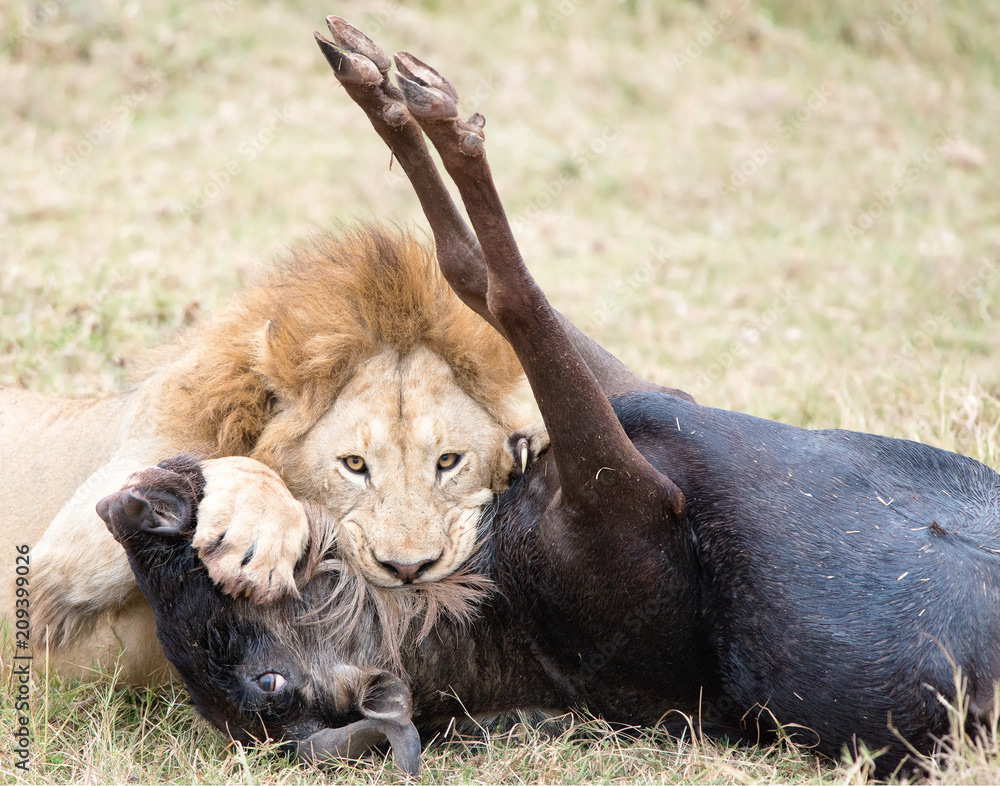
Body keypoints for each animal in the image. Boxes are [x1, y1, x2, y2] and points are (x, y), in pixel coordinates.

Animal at [0, 224, 534, 684]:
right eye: (354, 465)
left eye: (448, 461)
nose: (408, 570)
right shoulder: (48, 575)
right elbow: (221, 463)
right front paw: (257, 529)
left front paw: (527, 446)